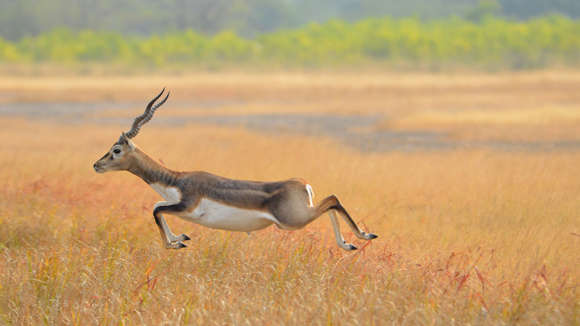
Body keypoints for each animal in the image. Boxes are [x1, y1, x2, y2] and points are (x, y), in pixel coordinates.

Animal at [93, 89, 378, 250]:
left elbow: (156, 210)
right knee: (331, 203)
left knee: (332, 199)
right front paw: (181, 238)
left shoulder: (186, 206)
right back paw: (348, 244)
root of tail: (302, 183)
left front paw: (174, 244)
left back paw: (365, 235)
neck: (176, 180)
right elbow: (156, 208)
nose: (97, 165)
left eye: (116, 150)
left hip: (292, 220)